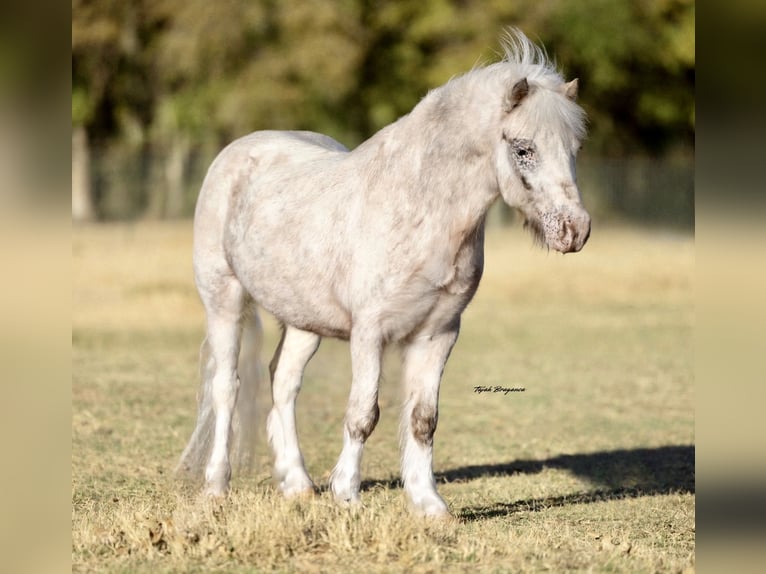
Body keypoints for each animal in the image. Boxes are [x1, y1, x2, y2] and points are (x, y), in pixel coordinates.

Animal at [177, 29, 590, 517]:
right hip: (224, 299)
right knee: (227, 387)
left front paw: (429, 505)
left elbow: (423, 419)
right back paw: (216, 487)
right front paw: (347, 497)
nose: (574, 230)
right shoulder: (369, 332)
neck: (420, 208)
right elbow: (363, 415)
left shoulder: (439, 333)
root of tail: (237, 152)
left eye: (574, 150)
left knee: (284, 383)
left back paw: (297, 484)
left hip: (303, 321)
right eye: (524, 149)